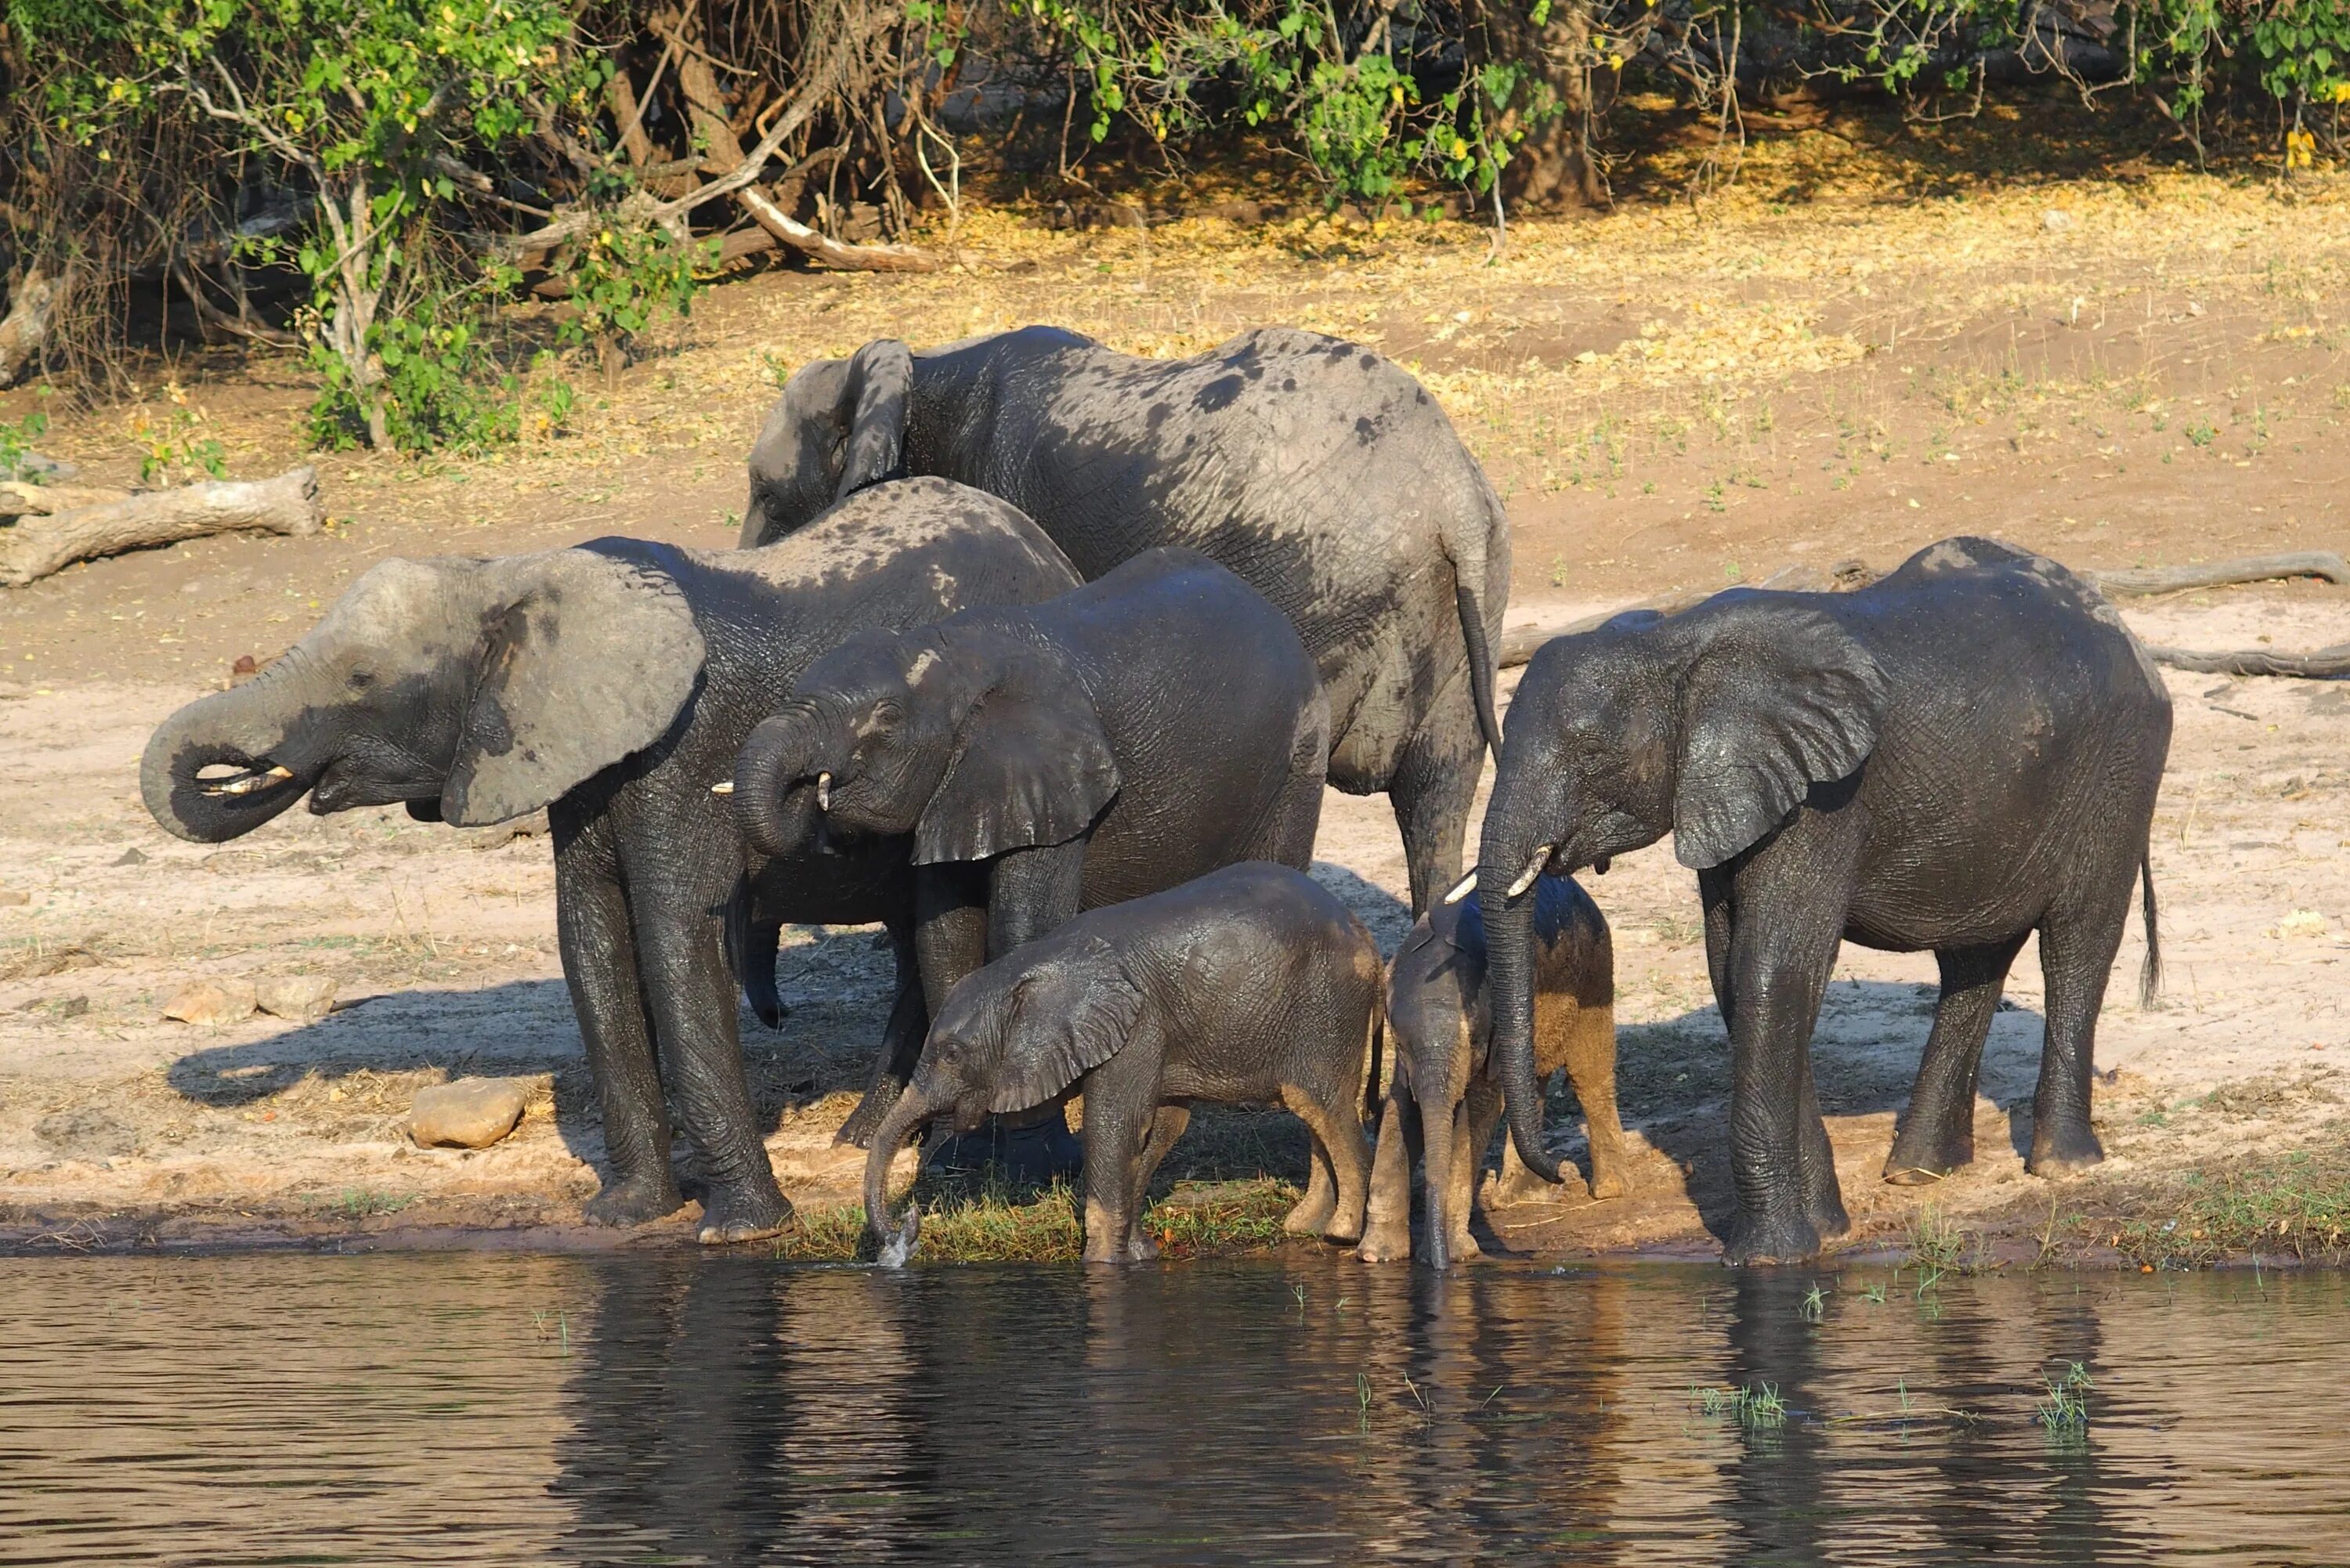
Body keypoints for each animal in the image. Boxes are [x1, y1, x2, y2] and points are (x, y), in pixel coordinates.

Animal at [151, 484, 1086, 1241]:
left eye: (360, 678)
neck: (515, 578)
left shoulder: (684, 745)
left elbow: (673, 937)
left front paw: (740, 1231)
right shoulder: (584, 757)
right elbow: (591, 940)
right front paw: (623, 1216)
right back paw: (864, 1133)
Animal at [743, 324, 1513, 912]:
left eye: (764, 491)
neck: (914, 367)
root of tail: (1453, 494)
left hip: (1318, 586)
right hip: (1471, 602)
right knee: (1437, 799)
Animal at [860, 865, 1372, 1269]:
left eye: (951, 1055)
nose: (907, 1229)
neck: (1030, 966)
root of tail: (1360, 928)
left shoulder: (1138, 1026)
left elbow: (1118, 1126)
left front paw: (1103, 1265)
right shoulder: (1156, 1032)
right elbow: (1160, 1128)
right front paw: (1140, 1254)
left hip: (1327, 1005)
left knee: (1322, 1104)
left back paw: (1342, 1232)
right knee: (1313, 1111)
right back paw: (1305, 1226)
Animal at [1354, 879, 1626, 1269]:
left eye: (1475, 1041)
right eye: (1400, 1044)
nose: (1437, 1267)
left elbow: (1478, 1113)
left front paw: (1456, 1254)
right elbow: (1401, 1110)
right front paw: (1378, 1256)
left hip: (1595, 969)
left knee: (1590, 1072)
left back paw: (1609, 1190)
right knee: (1534, 1079)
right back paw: (1521, 1196)